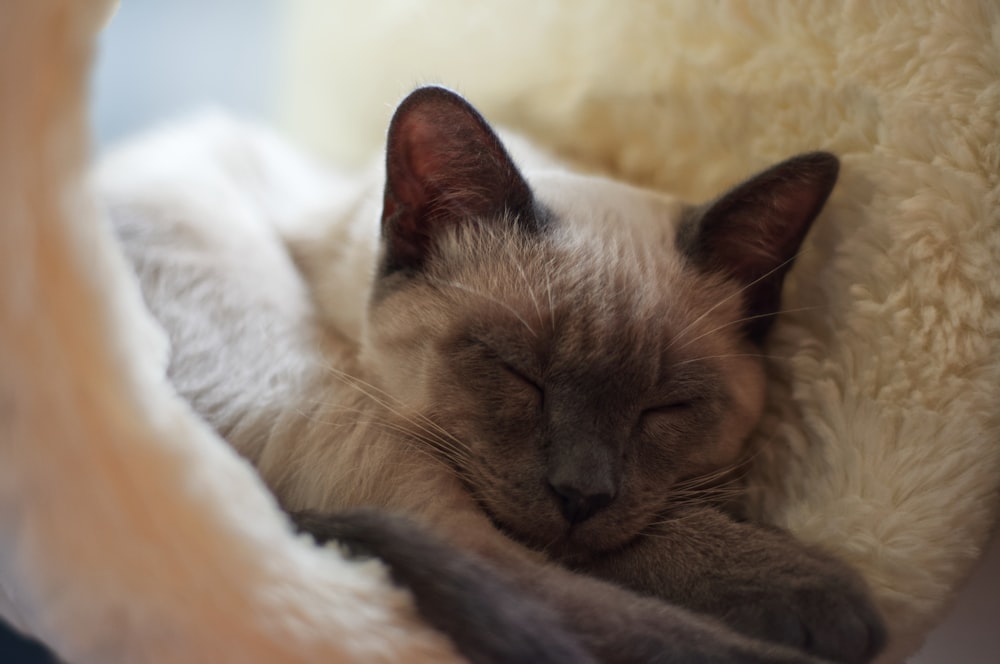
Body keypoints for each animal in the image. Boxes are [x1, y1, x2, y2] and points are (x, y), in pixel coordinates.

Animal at [101, 88, 884, 664]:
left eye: (664, 408)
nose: (581, 494)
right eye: (519, 375)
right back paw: (833, 611)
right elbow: (624, 542)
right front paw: (821, 601)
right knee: (504, 571)